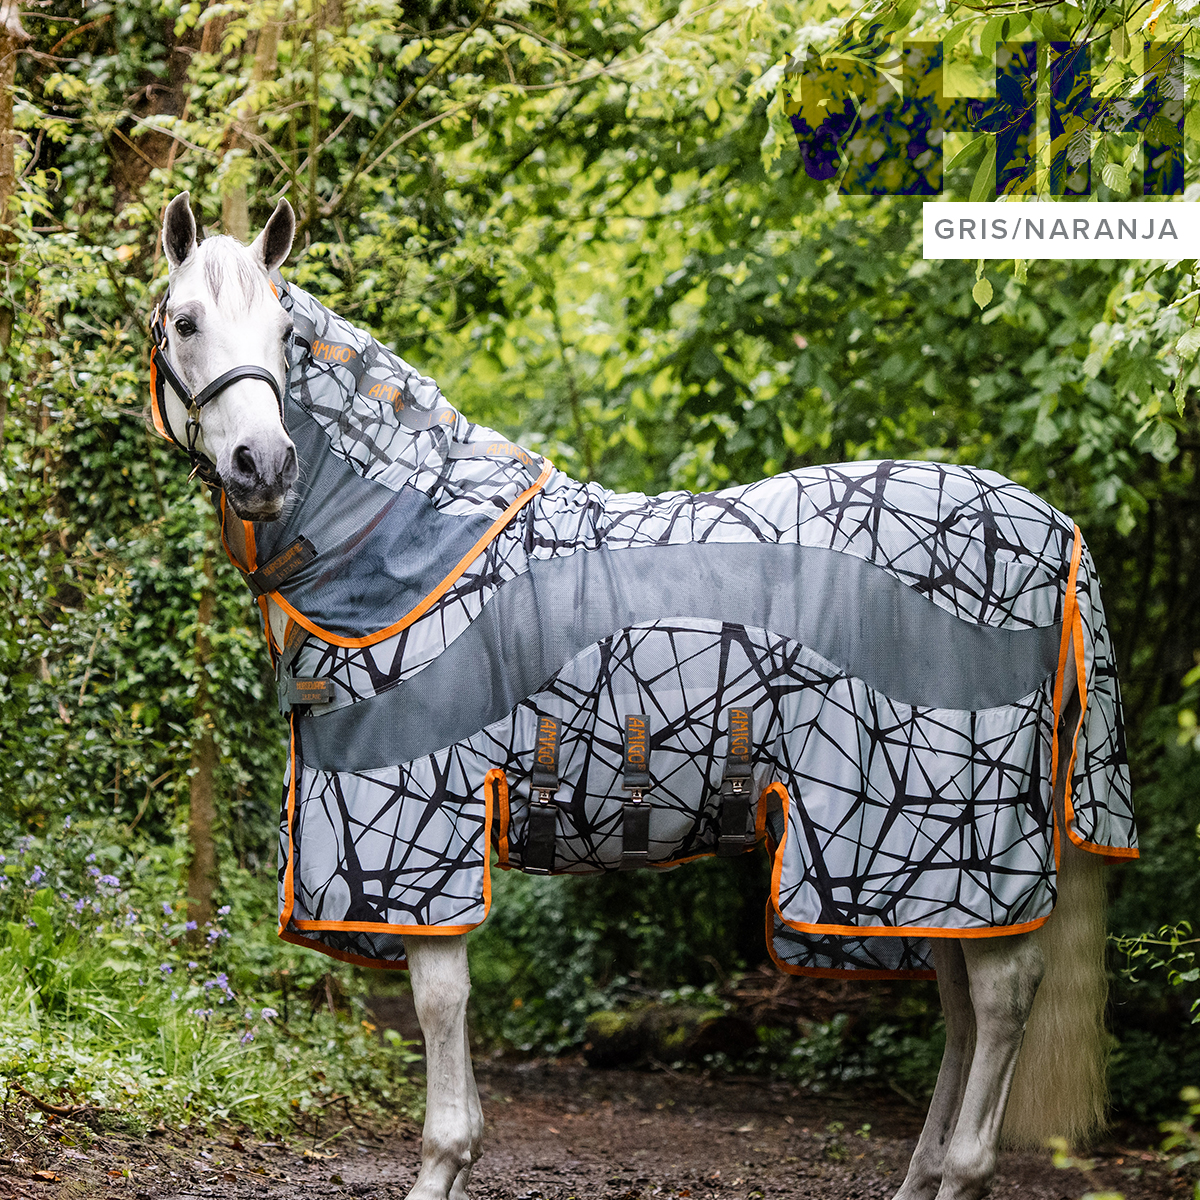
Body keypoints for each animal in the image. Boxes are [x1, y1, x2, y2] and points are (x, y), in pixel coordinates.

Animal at [147, 191, 1136, 1200]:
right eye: (185, 322)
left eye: (283, 333)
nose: (263, 464)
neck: (412, 547)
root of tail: (1056, 528)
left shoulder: (421, 842)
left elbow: (440, 1005)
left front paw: (442, 1166)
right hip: (925, 872)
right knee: (961, 1005)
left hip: (947, 837)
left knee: (1001, 998)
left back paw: (966, 1167)